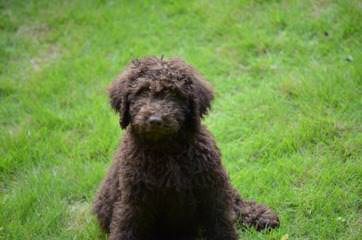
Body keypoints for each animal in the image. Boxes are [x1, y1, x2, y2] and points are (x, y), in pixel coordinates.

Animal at [92, 56, 278, 240]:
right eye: (142, 91)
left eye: (175, 94)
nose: (155, 120)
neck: (166, 149)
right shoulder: (133, 198)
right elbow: (126, 226)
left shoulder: (211, 188)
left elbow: (221, 222)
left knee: (235, 201)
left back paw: (261, 216)